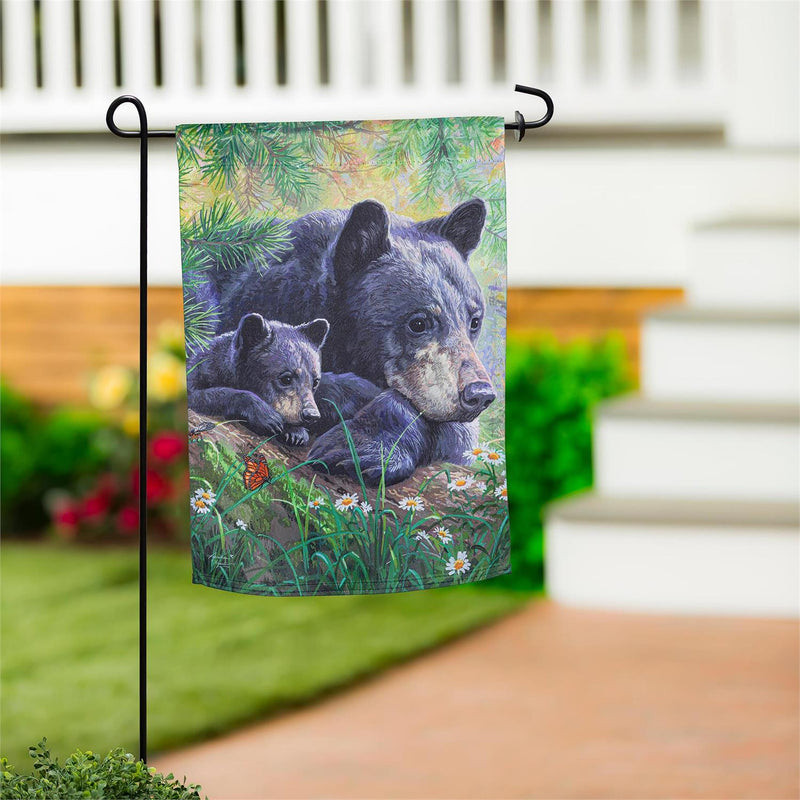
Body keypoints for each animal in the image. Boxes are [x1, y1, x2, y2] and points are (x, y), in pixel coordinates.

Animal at [187, 312, 381, 447]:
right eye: (286, 378)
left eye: (315, 381)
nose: (311, 415)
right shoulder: (199, 369)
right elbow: (202, 395)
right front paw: (268, 417)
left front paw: (296, 432)